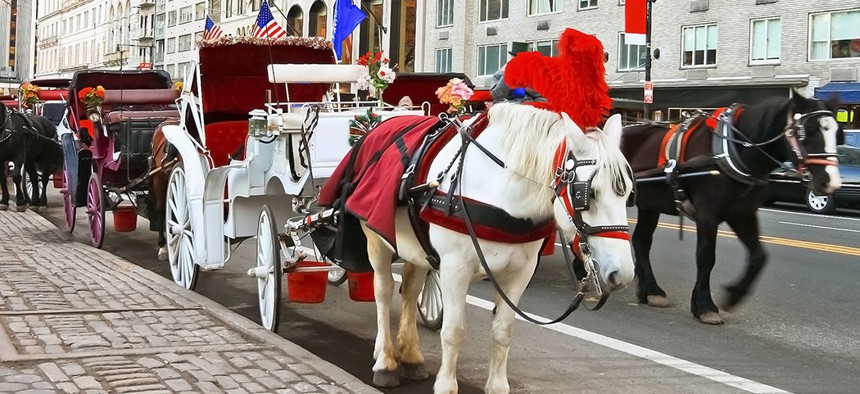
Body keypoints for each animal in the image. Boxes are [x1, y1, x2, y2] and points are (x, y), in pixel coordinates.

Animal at [360, 103, 636, 392]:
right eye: (588, 194)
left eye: (629, 194)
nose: (623, 274)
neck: (499, 196)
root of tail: (379, 123)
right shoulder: (454, 268)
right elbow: (453, 331)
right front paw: (446, 385)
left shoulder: (520, 272)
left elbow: (503, 331)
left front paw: (497, 385)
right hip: (376, 238)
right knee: (383, 291)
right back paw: (385, 360)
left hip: (416, 248)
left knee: (411, 289)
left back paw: (411, 356)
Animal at [620, 94, 844, 324]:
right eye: (808, 130)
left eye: (838, 133)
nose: (830, 182)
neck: (733, 152)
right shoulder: (708, 213)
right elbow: (706, 257)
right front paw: (705, 306)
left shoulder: (743, 213)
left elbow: (758, 256)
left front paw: (733, 295)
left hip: (649, 205)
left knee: (641, 241)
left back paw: (651, 291)